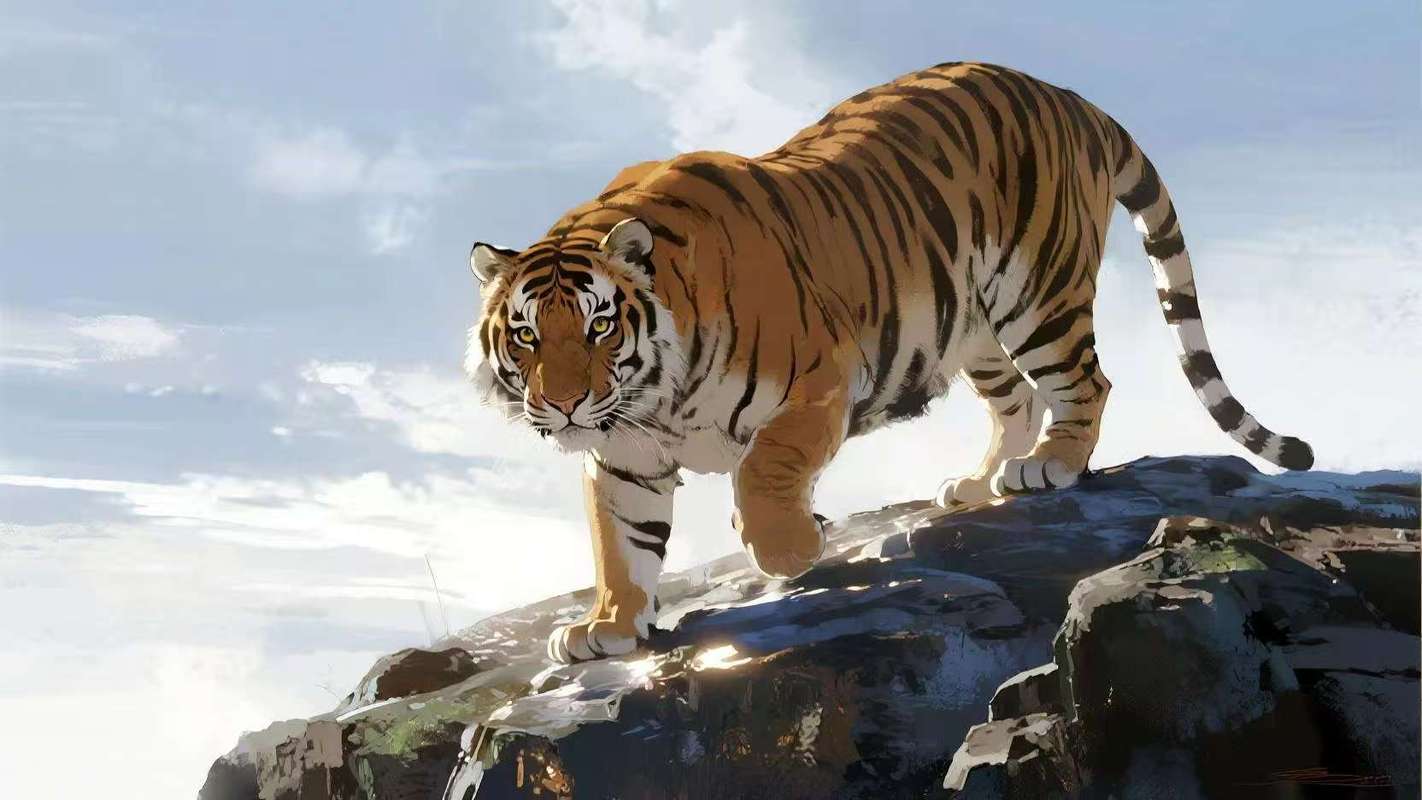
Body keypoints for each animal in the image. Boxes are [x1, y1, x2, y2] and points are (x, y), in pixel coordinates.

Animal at [465, 62, 1312, 664]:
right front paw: (607, 626)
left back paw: (1053, 464)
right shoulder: (623, 453)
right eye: (527, 336)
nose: (564, 405)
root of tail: (1068, 95)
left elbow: (764, 468)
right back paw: (978, 484)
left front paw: (790, 546)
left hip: (1038, 293)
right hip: (970, 326)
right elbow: (620, 543)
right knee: (1019, 399)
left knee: (1085, 383)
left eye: (600, 326)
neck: (651, 396)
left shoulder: (818, 381)